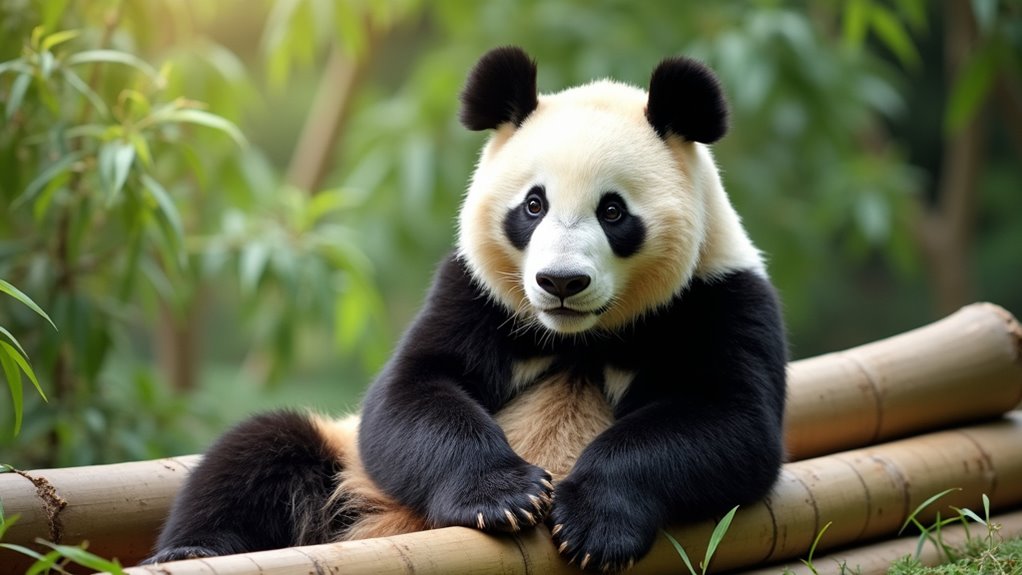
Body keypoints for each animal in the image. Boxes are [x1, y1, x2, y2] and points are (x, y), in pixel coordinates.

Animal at [143, 46, 787, 572]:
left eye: (613, 211)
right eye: (533, 205)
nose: (560, 282)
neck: (578, 336)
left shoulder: (719, 298)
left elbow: (728, 424)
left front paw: (591, 521)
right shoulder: (475, 292)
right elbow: (411, 394)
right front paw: (506, 497)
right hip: (343, 467)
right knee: (258, 452)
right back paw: (191, 549)